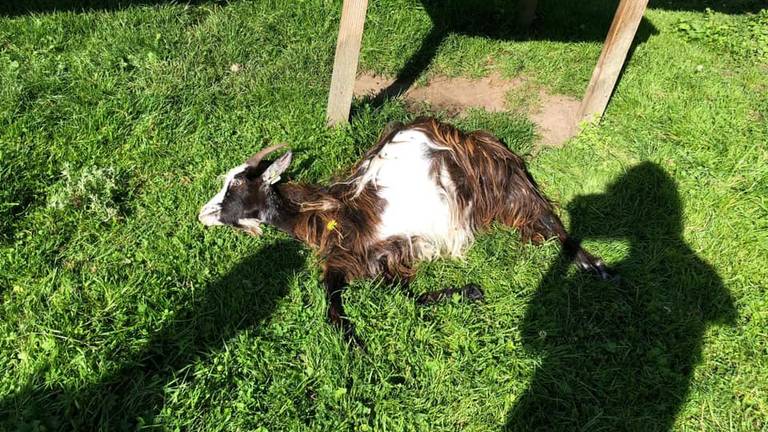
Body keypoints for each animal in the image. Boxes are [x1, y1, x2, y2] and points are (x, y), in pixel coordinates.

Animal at [198, 118, 612, 348]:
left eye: (236, 186)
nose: (203, 214)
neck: (334, 214)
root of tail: (474, 136)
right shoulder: (367, 258)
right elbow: (398, 296)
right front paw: (469, 291)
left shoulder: (380, 249)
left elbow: (338, 306)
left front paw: (356, 346)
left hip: (503, 185)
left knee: (550, 219)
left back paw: (597, 266)